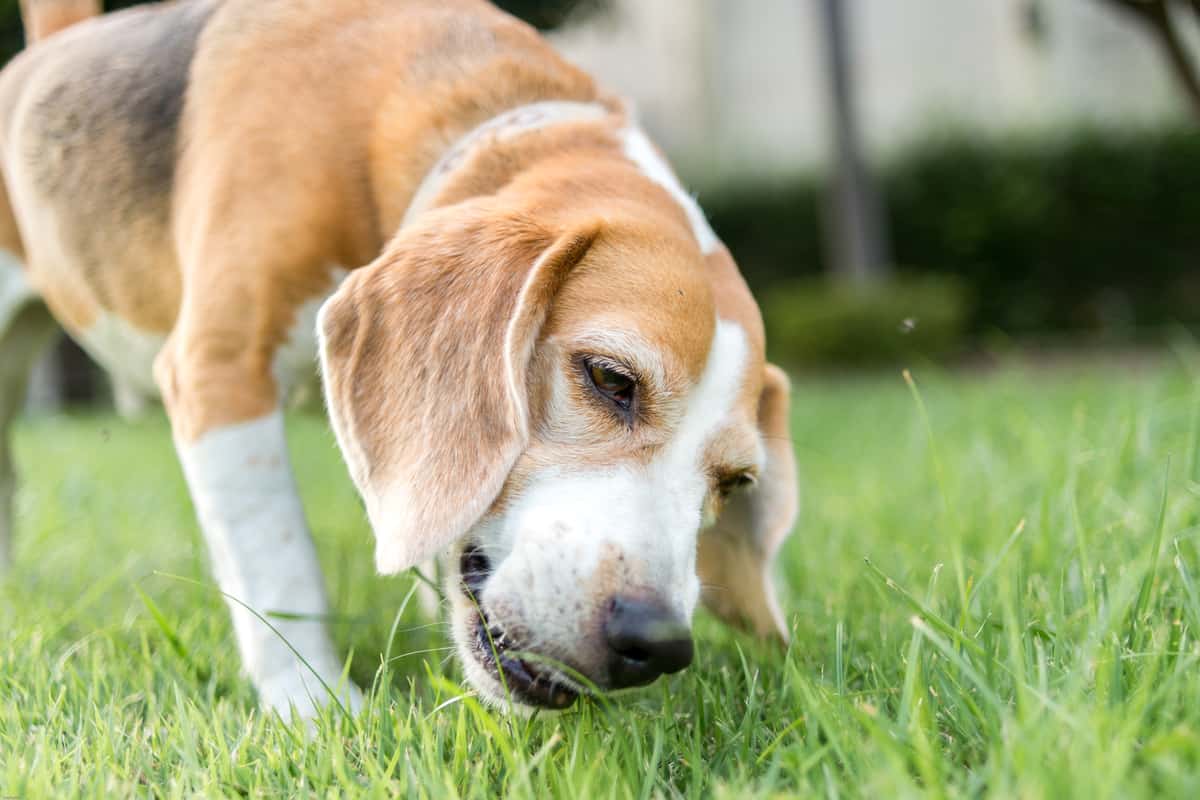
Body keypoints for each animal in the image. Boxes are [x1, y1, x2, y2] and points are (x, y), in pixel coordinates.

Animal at [0, 0, 796, 714]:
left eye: (734, 483)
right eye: (609, 378)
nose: (656, 644)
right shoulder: (219, 370)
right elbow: (277, 558)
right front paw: (315, 707)